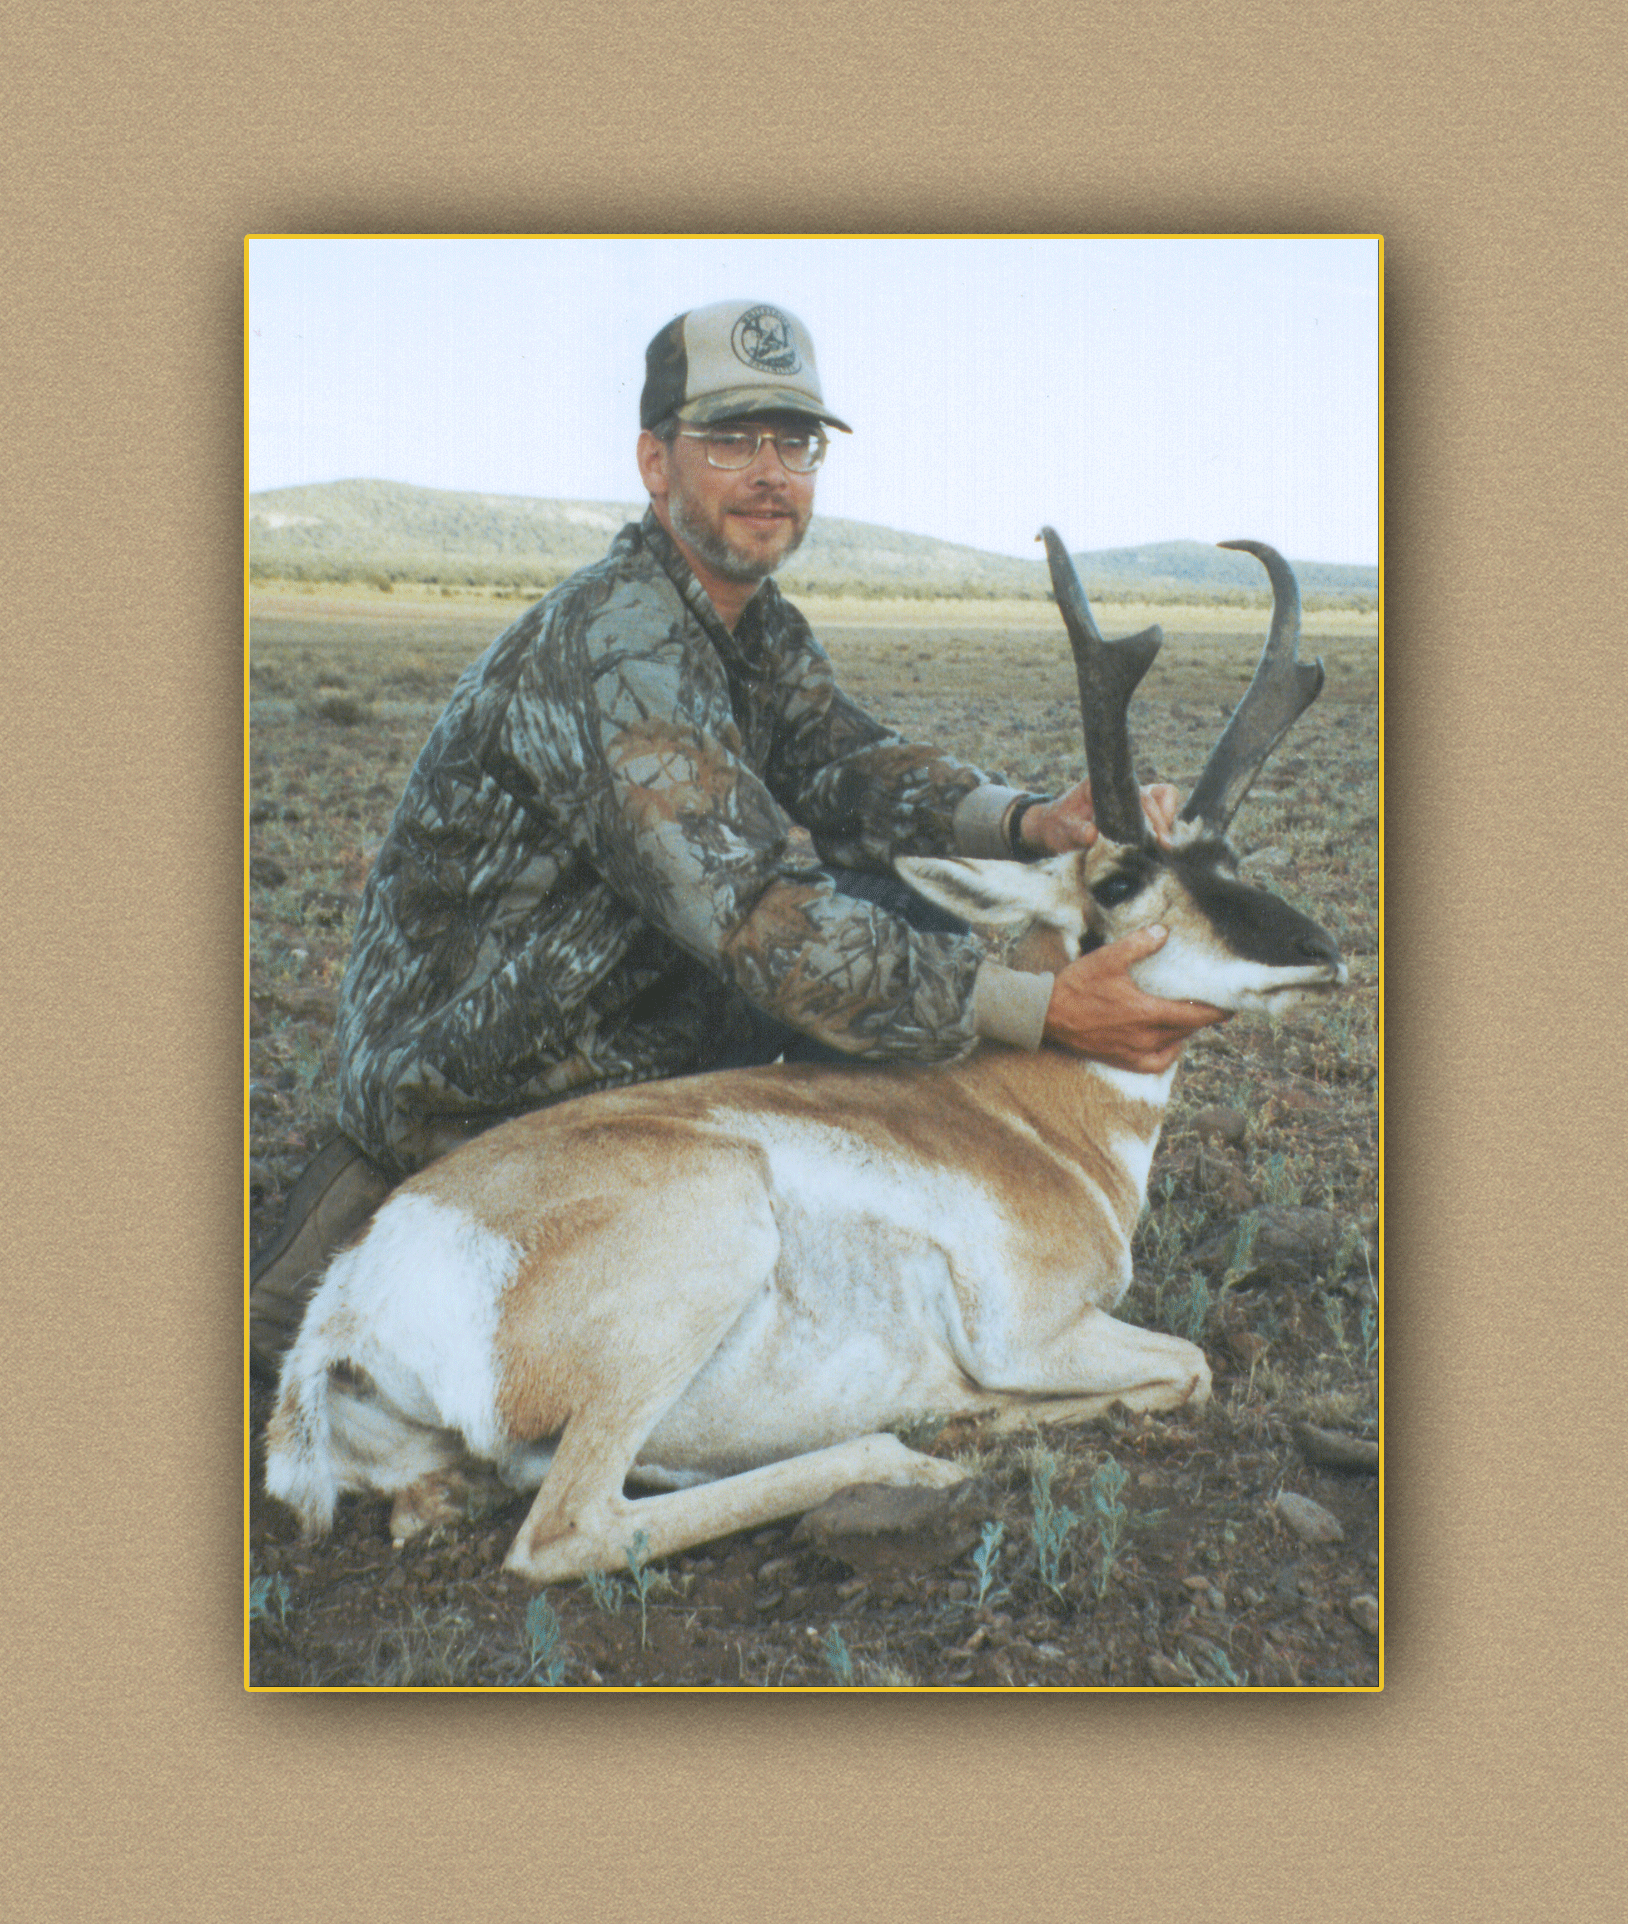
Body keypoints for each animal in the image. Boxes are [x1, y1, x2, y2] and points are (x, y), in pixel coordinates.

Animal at [263, 535, 1347, 1584]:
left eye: (1229, 859)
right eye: (1120, 880)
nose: (1320, 952)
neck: (1025, 1119)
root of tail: (352, 1295)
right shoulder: (1037, 1333)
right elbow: (1190, 1363)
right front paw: (980, 1410)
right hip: (704, 1255)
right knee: (567, 1529)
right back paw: (905, 1453)